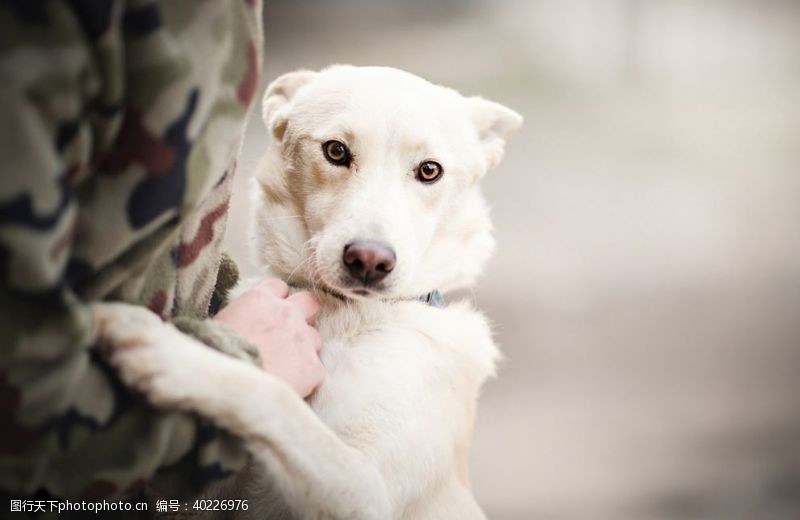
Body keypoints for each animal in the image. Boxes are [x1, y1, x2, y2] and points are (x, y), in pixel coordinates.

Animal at [94, 66, 520, 520]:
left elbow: (276, 398)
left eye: (429, 171)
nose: (369, 261)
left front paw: (169, 354)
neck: (344, 313)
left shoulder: (368, 493)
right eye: (335, 151)